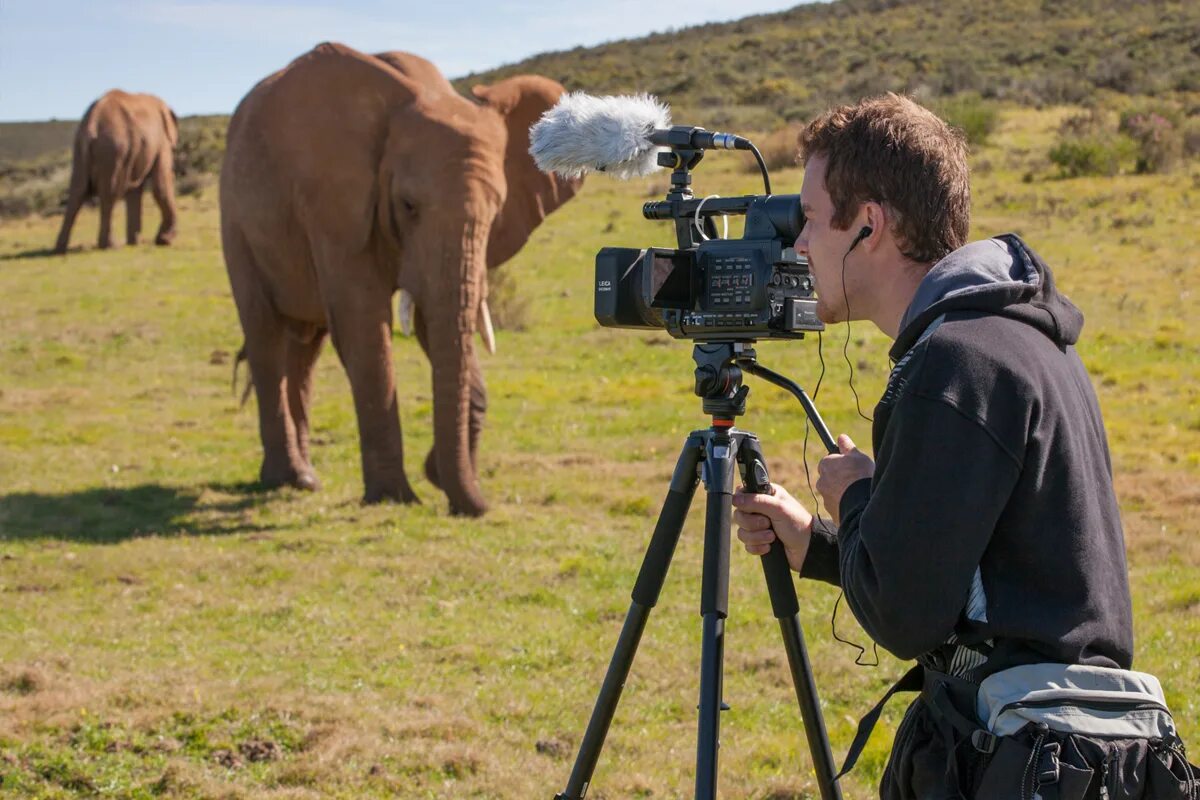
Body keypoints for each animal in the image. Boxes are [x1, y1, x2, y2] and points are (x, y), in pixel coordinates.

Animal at [54, 90, 177, 253]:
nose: (163, 240)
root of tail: (92, 122)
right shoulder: (162, 141)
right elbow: (160, 184)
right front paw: (164, 241)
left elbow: (135, 190)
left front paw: (135, 243)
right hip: (112, 149)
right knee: (110, 194)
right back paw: (111, 246)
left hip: (81, 148)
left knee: (77, 191)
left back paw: (59, 249)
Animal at [223, 43, 583, 515]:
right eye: (408, 205)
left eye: (497, 210)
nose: (482, 505)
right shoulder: (333, 204)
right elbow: (363, 327)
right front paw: (395, 497)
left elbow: (438, 316)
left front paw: (439, 476)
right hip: (235, 221)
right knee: (264, 335)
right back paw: (285, 478)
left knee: (305, 347)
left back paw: (305, 478)